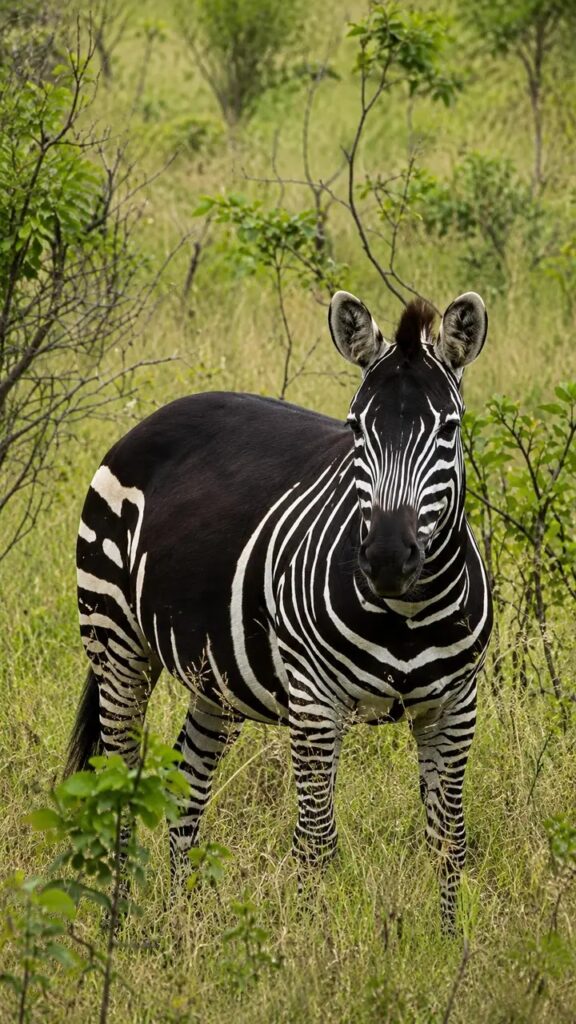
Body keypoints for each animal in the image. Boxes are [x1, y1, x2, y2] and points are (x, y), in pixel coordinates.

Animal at [67, 289, 492, 928]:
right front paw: (312, 946)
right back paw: (118, 922)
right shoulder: (315, 704)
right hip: (115, 640)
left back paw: (180, 918)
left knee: (188, 781)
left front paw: (448, 942)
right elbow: (316, 842)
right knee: (121, 776)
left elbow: (450, 841)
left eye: (450, 428)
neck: (408, 613)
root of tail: (160, 412)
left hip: (215, 674)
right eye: (355, 429)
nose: (387, 558)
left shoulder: (455, 708)